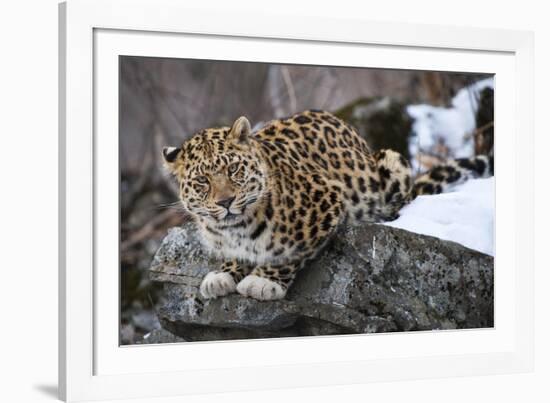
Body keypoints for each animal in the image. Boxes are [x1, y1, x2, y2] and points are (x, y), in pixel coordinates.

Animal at [162, 109, 494, 300]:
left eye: (233, 169)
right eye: (202, 180)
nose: (226, 201)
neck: (237, 228)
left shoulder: (327, 202)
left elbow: (290, 251)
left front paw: (263, 282)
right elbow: (236, 255)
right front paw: (223, 275)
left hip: (391, 165)